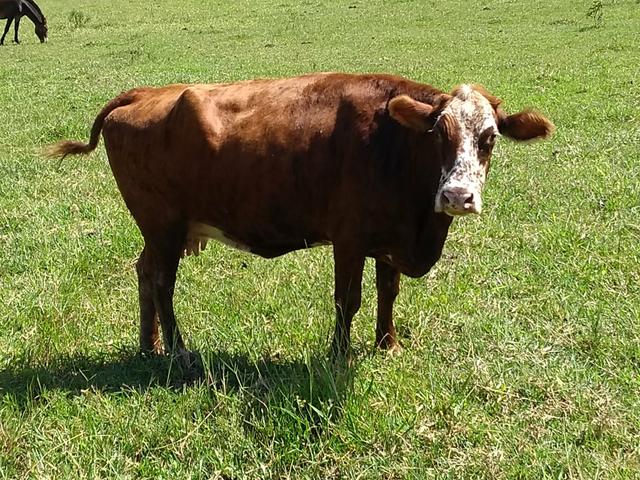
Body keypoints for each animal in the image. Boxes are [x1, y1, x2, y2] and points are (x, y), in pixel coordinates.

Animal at [48, 73, 553, 365]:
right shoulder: (349, 238)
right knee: (161, 282)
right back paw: (178, 351)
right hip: (164, 226)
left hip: (159, 232)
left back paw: (148, 345)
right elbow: (347, 300)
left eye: (489, 137)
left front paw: (387, 344)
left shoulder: (389, 239)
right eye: (437, 134)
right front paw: (339, 355)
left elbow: (387, 292)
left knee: (144, 272)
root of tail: (144, 93)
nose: (457, 195)